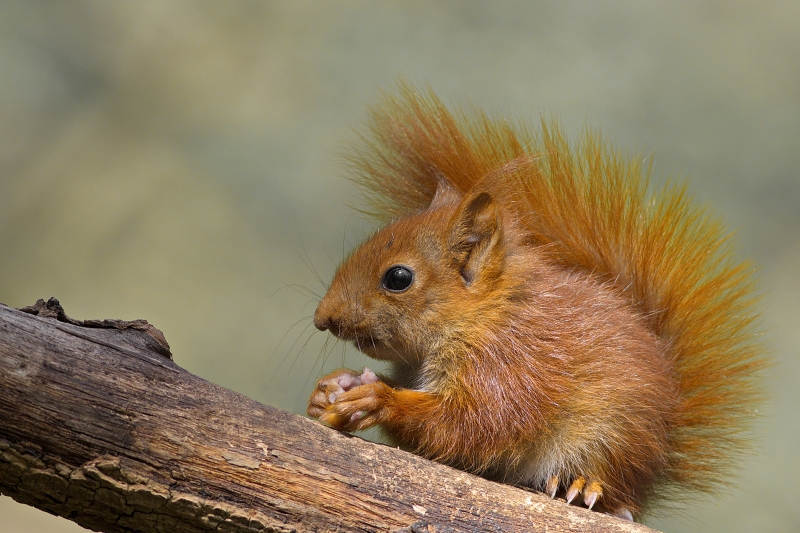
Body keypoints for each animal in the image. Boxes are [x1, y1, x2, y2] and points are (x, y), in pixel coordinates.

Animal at [304, 84, 764, 520]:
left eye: (398, 278)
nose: (322, 318)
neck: (483, 316)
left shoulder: (506, 368)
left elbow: (469, 425)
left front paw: (377, 399)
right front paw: (332, 388)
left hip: (613, 436)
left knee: (616, 492)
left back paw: (585, 485)